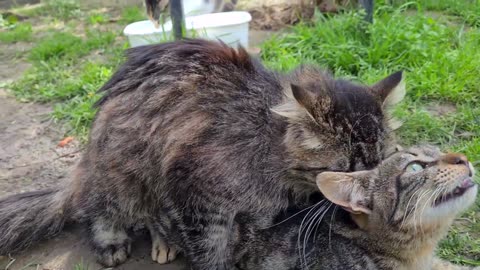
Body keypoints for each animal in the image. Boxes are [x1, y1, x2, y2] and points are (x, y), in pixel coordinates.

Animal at [0, 39, 404, 268]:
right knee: (98, 207)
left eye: (380, 163)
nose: (364, 196)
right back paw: (112, 239)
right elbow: (211, 249)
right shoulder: (194, 190)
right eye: (347, 170)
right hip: (122, 171)